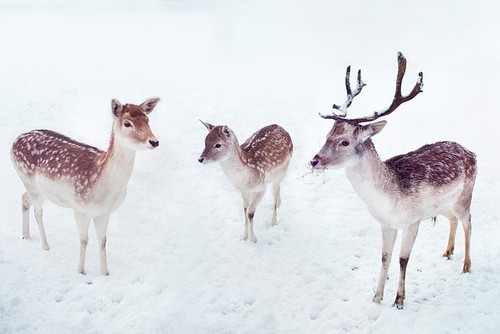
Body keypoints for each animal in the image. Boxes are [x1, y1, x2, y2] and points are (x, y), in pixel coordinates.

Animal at [10, 98, 160, 276]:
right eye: (127, 123)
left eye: (147, 119)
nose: (154, 141)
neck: (105, 186)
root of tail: (14, 142)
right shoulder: (80, 209)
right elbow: (84, 240)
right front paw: (81, 271)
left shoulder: (104, 213)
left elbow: (103, 241)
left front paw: (105, 273)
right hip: (29, 181)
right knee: (38, 211)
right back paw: (45, 245)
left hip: (37, 188)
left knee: (24, 198)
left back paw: (25, 235)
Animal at [308, 52, 476, 310]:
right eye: (327, 136)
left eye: (344, 141)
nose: (314, 161)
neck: (388, 200)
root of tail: (471, 153)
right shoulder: (386, 223)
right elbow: (385, 257)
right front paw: (376, 297)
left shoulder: (413, 220)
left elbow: (403, 259)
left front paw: (399, 300)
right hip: (444, 205)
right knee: (453, 220)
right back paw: (447, 252)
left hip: (465, 195)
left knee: (468, 222)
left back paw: (466, 266)